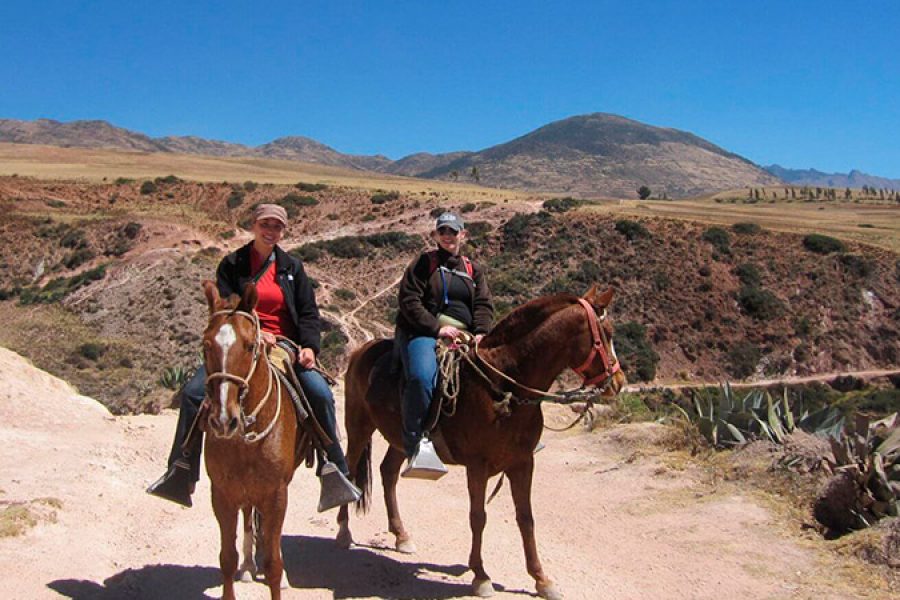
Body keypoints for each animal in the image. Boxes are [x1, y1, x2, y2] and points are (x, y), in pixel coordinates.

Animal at [200, 282, 298, 600]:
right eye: (205, 345)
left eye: (249, 346)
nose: (223, 420)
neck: (245, 441)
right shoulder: (222, 494)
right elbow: (226, 558)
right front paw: (240, 565)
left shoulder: (277, 494)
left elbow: (274, 564)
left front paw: (278, 573)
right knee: (248, 515)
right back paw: (247, 565)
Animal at [338, 286, 624, 600]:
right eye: (607, 333)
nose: (618, 382)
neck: (503, 386)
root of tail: (360, 352)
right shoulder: (477, 465)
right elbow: (478, 516)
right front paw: (481, 576)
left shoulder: (522, 463)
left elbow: (526, 518)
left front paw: (541, 579)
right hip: (359, 427)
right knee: (350, 471)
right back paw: (343, 532)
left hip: (400, 441)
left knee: (388, 473)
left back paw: (401, 536)